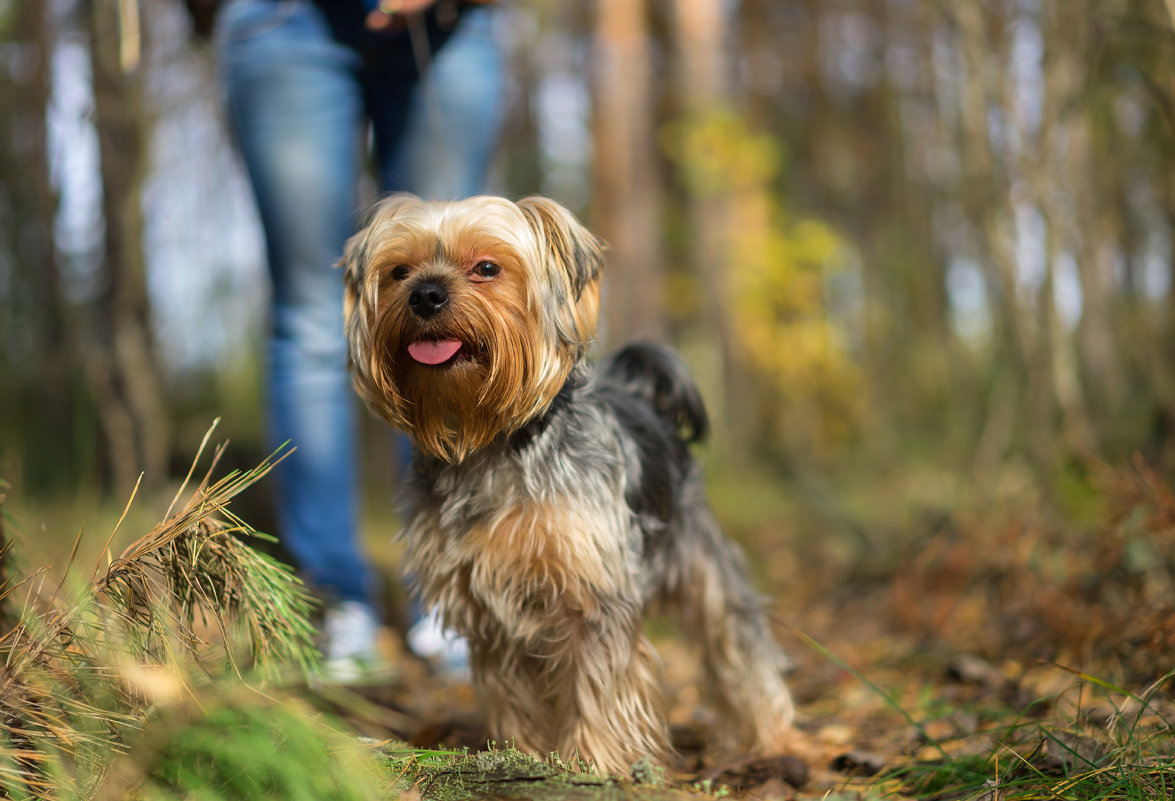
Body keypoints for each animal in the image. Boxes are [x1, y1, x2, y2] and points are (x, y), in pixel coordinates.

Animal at [343, 191, 798, 765]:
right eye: (399, 272)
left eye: (486, 267)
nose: (425, 294)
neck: (489, 445)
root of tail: (640, 394)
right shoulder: (488, 607)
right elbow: (511, 693)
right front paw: (523, 754)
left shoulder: (592, 592)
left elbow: (598, 685)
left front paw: (594, 763)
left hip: (701, 551)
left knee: (736, 637)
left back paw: (776, 738)